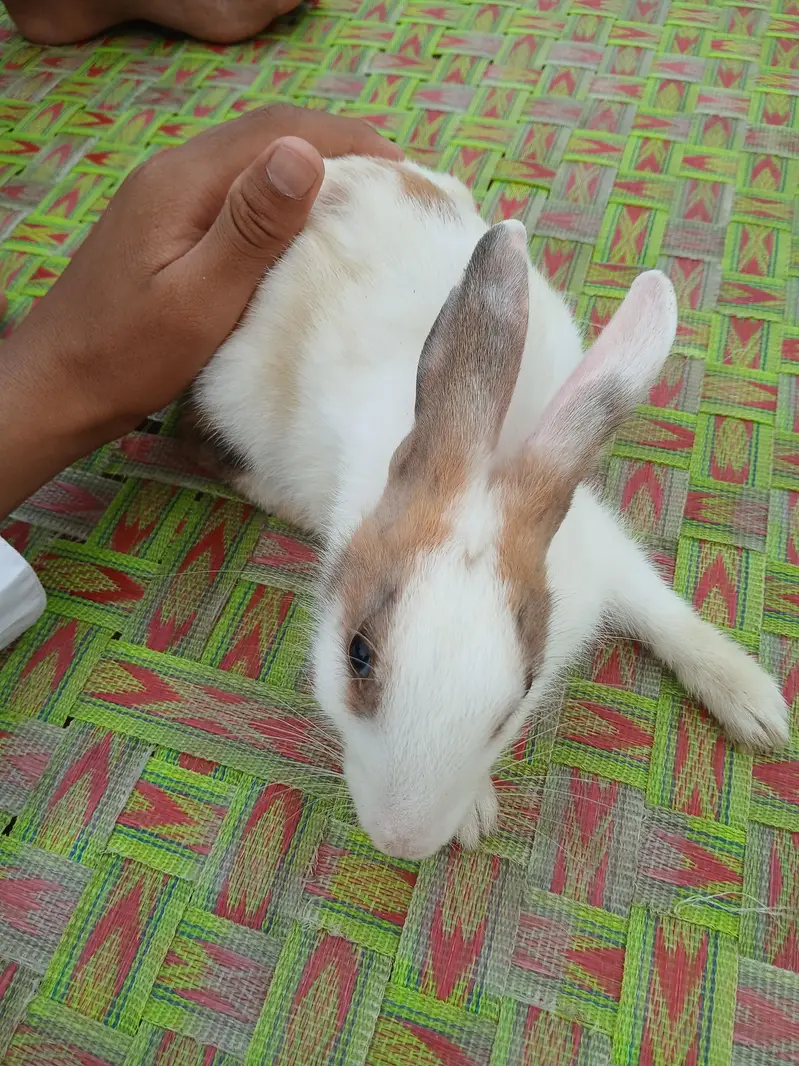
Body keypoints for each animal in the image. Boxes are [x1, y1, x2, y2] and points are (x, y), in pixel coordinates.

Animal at [192, 156, 790, 861]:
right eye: (357, 656)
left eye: (521, 695)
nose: (404, 842)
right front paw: (475, 814)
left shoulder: (599, 547)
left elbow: (660, 609)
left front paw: (758, 706)